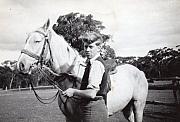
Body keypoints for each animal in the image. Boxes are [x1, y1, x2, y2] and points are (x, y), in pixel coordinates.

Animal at [16, 19, 148, 121]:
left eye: (37, 41)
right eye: (26, 40)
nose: (20, 65)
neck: (71, 76)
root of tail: (140, 72)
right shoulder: (69, 117)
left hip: (138, 105)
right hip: (127, 108)